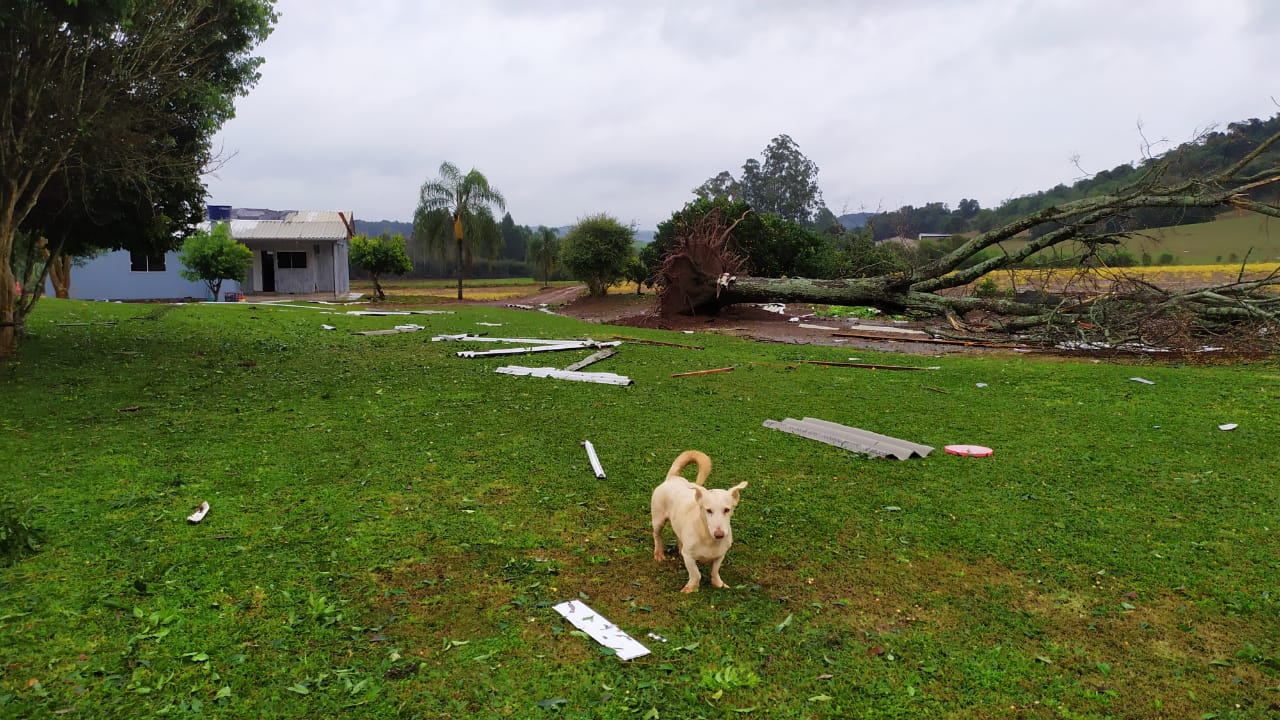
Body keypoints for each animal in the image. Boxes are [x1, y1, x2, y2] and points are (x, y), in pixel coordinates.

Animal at [650, 448, 747, 589]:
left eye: (727, 510)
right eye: (708, 510)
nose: (719, 534)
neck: (709, 539)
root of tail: (673, 478)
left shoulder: (720, 555)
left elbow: (715, 570)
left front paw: (719, 584)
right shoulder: (689, 557)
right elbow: (696, 574)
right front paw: (690, 588)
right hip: (658, 520)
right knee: (657, 535)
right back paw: (658, 553)